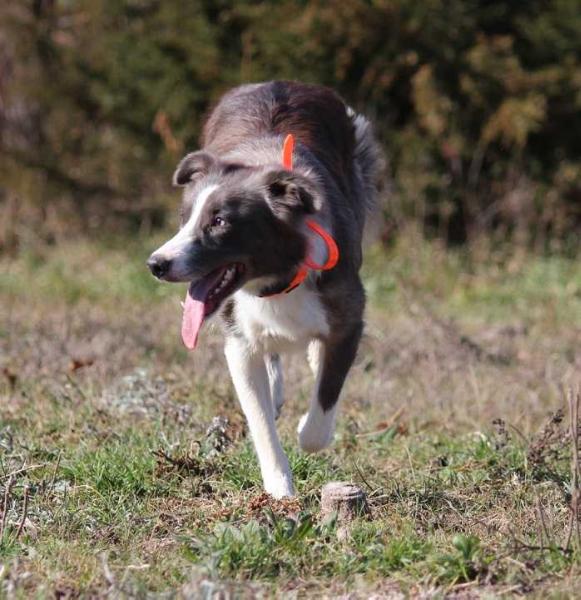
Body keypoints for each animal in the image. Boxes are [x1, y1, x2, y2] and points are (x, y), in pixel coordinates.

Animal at [147, 82, 382, 500]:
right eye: (184, 219)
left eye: (219, 222)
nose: (156, 264)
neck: (278, 279)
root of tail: (279, 83)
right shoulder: (239, 341)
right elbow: (259, 420)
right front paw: (280, 488)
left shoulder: (348, 322)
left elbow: (321, 412)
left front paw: (307, 424)